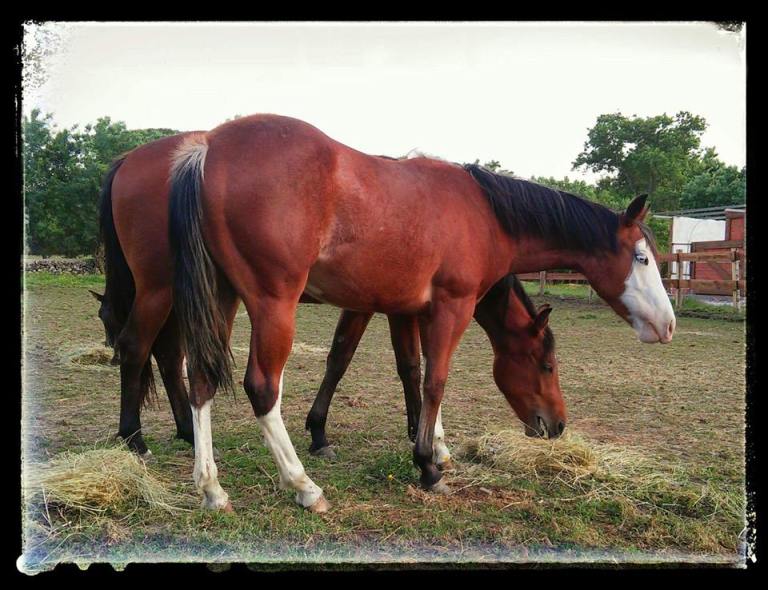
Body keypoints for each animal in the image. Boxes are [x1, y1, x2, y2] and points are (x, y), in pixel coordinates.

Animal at [97, 134, 565, 471]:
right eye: (546, 364)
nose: (557, 425)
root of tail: (130, 159)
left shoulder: (392, 308)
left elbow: (389, 364)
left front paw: (417, 434)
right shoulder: (377, 307)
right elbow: (368, 362)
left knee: (168, 355)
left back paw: (185, 432)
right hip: (159, 290)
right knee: (138, 348)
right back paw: (135, 438)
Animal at [168, 114, 675, 513]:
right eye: (641, 258)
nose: (557, 426)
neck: (485, 214)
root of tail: (208, 149)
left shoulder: (406, 309)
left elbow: (412, 371)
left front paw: (437, 448)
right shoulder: (452, 307)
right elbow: (435, 380)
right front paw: (429, 466)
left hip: (223, 299)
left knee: (203, 379)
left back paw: (212, 489)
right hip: (273, 305)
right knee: (262, 388)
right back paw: (304, 486)